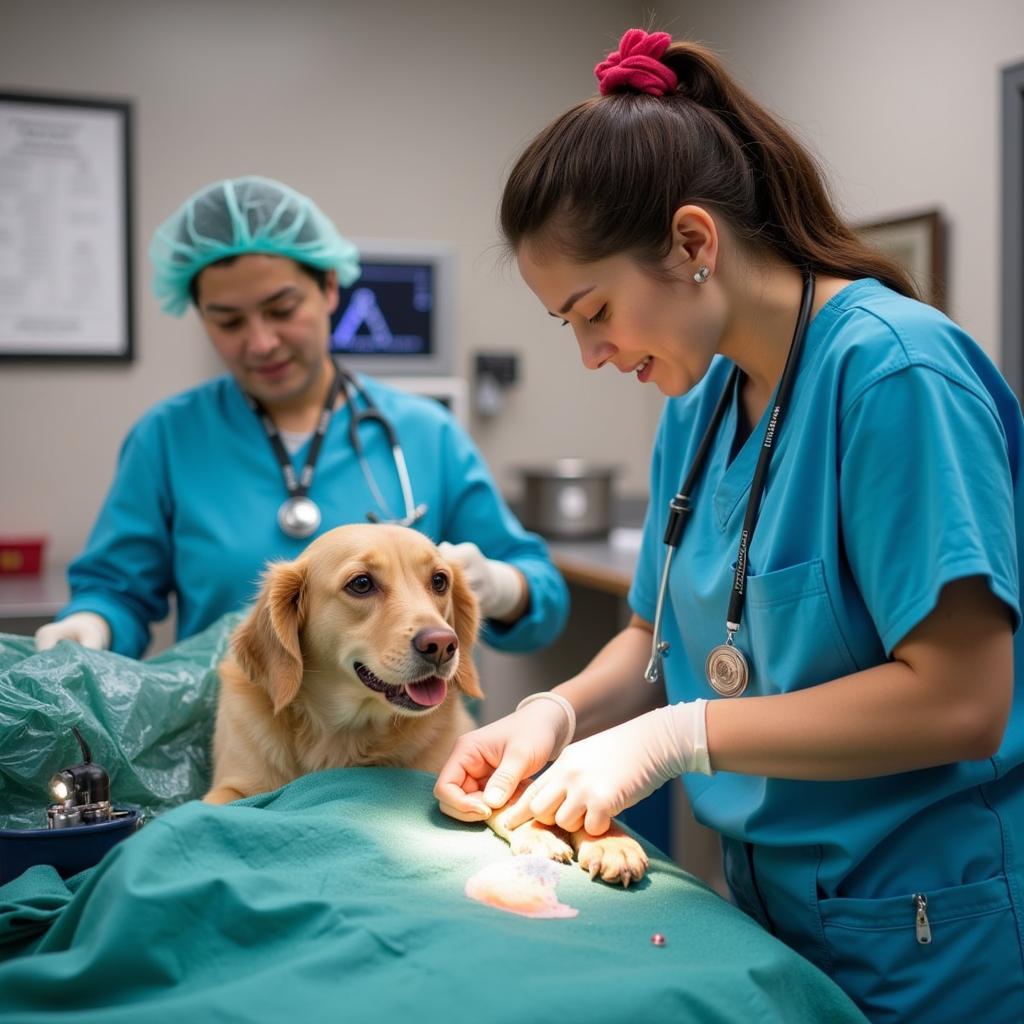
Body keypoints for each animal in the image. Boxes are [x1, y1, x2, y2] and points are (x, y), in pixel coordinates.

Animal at [202, 524, 643, 884]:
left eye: (439, 580)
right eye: (361, 584)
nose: (444, 644)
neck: (345, 733)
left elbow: (519, 795)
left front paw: (605, 838)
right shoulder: (231, 788)